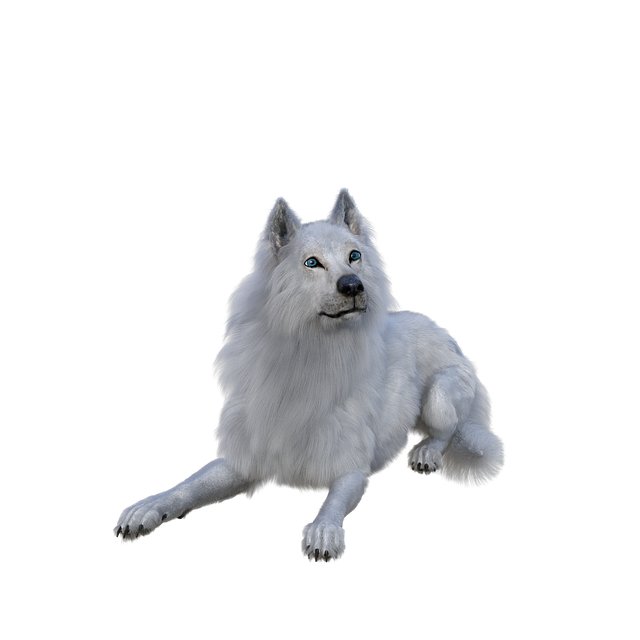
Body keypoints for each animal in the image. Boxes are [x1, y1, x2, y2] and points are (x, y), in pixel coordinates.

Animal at [113, 188, 504, 562]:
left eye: (354, 256)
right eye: (312, 263)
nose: (353, 286)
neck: (309, 358)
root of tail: (436, 327)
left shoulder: (352, 469)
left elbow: (333, 501)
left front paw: (324, 531)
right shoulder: (244, 459)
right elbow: (187, 487)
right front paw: (146, 509)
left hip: (439, 395)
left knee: (446, 431)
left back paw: (426, 453)